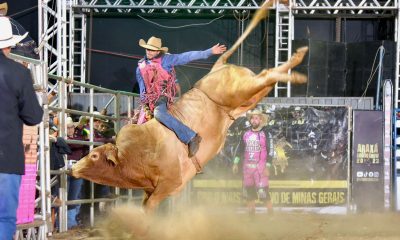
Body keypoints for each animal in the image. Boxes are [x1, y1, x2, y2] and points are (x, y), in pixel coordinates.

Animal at [71, 1, 310, 212]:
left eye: (94, 156)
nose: (73, 167)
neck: (134, 155)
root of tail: (217, 68)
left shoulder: (168, 184)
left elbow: (150, 206)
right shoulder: (154, 189)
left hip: (241, 90)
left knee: (267, 75)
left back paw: (298, 63)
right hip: (246, 99)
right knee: (267, 78)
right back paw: (296, 68)